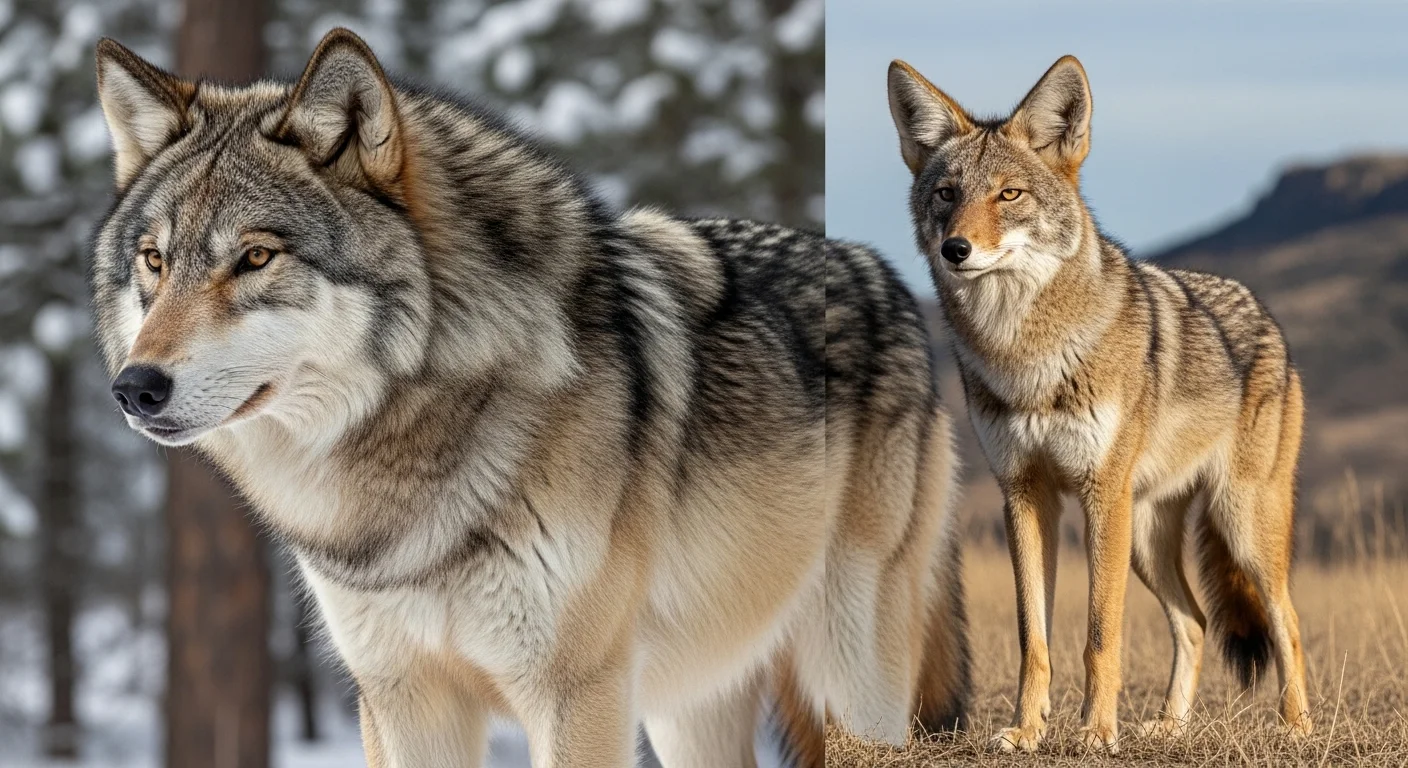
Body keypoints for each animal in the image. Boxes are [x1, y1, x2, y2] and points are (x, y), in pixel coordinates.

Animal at [89, 27, 966, 767]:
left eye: (256, 257)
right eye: (155, 260)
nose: (134, 388)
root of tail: (880, 269)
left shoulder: (578, 696)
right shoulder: (401, 700)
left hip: (851, 678)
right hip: (691, 708)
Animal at [886, 56, 1312, 753]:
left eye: (1009, 195)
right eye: (946, 194)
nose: (956, 249)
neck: (1025, 355)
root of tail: (1265, 313)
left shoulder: (1096, 493)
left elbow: (1099, 635)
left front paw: (1093, 733)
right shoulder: (1024, 494)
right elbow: (1034, 638)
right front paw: (1026, 731)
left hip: (1239, 525)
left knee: (1288, 620)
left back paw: (1296, 726)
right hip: (1146, 540)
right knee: (1195, 621)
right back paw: (1169, 725)